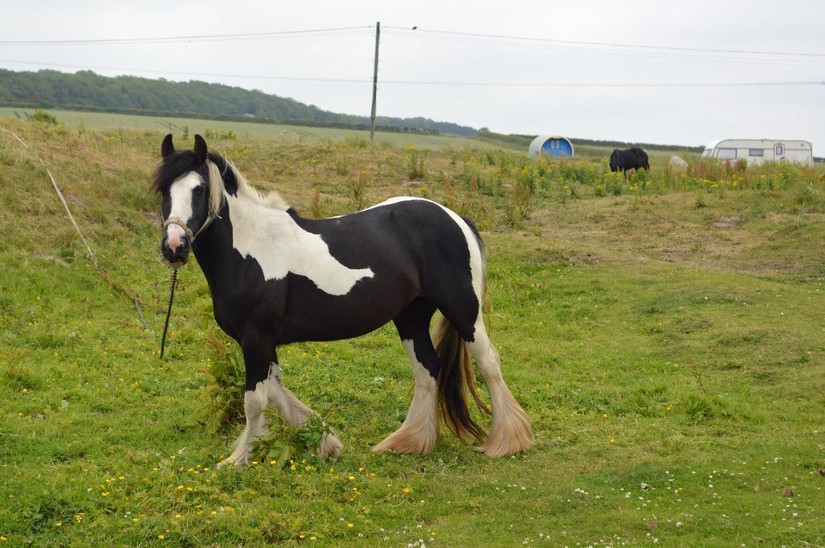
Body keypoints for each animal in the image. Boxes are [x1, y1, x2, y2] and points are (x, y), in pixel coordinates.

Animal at [151, 135, 532, 464]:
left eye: (200, 189)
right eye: (164, 191)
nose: (174, 247)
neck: (251, 248)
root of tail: (454, 218)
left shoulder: (256, 338)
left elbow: (255, 400)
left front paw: (240, 459)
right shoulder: (262, 342)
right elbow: (275, 391)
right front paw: (324, 441)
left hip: (463, 310)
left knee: (488, 362)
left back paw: (506, 441)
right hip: (411, 317)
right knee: (427, 370)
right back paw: (408, 442)